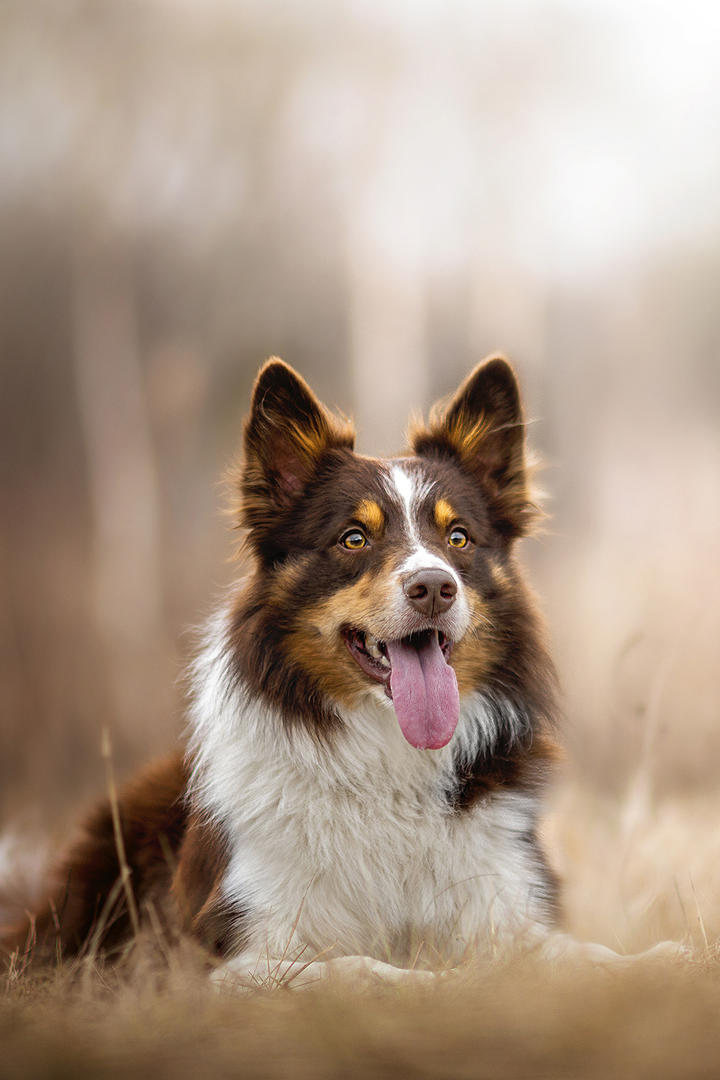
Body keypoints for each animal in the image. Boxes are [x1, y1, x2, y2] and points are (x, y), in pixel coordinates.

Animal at [1, 356, 682, 989]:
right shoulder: (231, 960)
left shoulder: (506, 908)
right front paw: (441, 984)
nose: (434, 586)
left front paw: (660, 962)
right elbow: (359, 970)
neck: (388, 762)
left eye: (459, 537)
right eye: (354, 538)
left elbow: (584, 956)